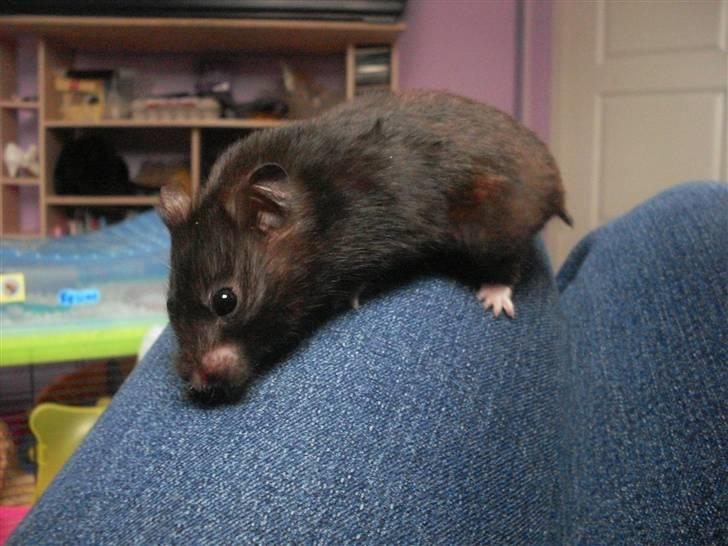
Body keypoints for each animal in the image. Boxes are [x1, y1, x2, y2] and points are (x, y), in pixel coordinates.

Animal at [159, 90, 572, 398]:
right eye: (168, 303)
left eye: (225, 301)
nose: (193, 383)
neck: (318, 210)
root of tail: (556, 184)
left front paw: (352, 297)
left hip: (492, 224)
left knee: (511, 260)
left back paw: (493, 298)